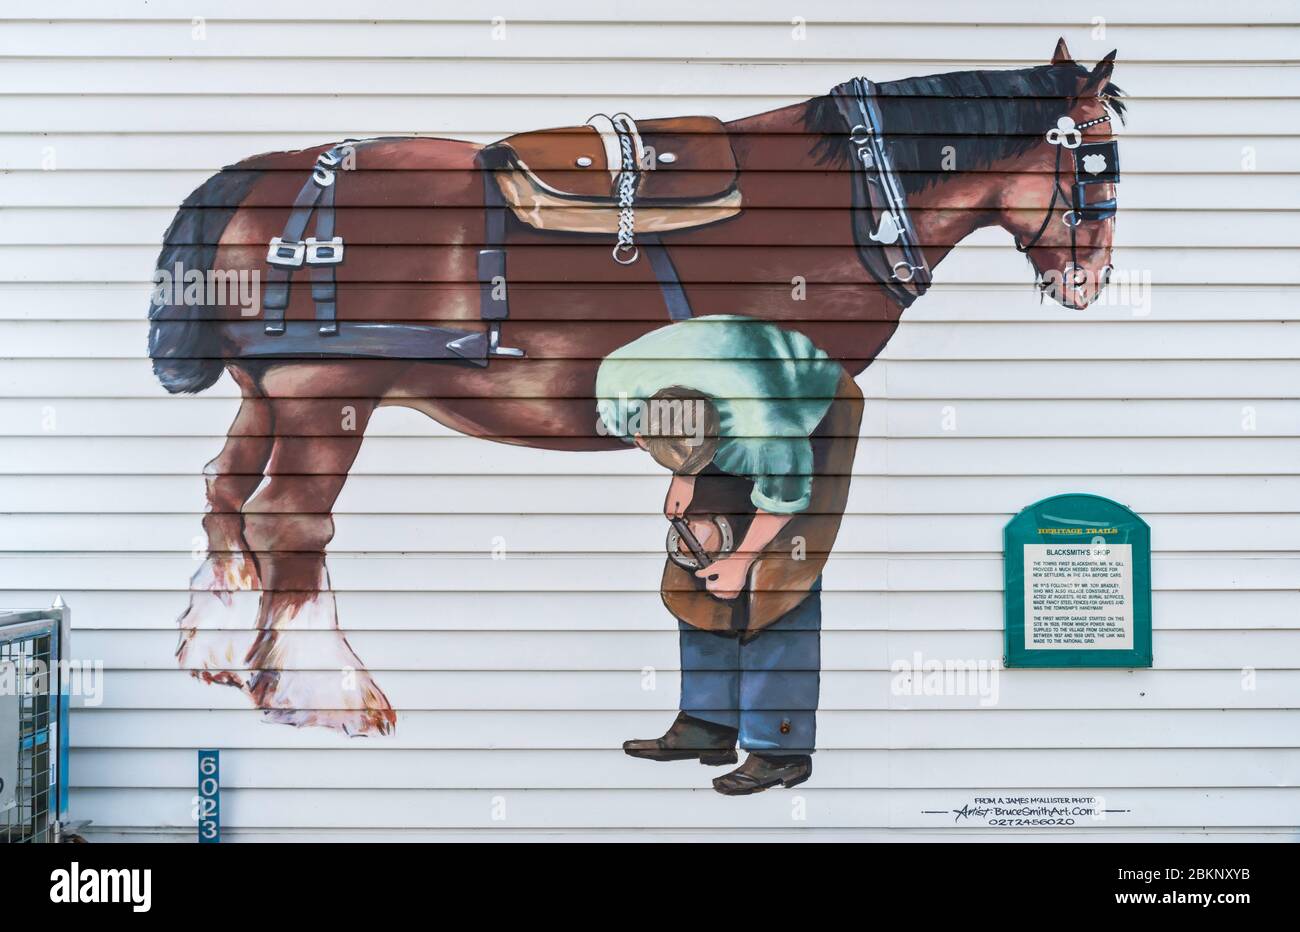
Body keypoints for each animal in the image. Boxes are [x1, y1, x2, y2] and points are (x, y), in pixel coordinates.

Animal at [149, 39, 1128, 733]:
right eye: (1099, 156)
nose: (1091, 280)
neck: (856, 198)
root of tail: (280, 173)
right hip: (326, 393)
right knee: (290, 522)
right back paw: (327, 692)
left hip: (266, 394)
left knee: (225, 494)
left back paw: (222, 649)